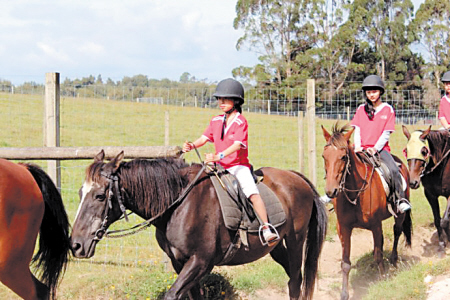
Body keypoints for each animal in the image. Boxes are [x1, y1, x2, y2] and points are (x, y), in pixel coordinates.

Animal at [69, 151, 326, 300]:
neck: (179, 204)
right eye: (81, 193)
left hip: (295, 242)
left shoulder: (200, 262)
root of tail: (297, 178)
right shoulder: (179, 262)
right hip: (276, 247)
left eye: (99, 196)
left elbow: (172, 296)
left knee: (296, 282)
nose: (76, 245)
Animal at [320, 123, 412, 300]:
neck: (356, 193)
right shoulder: (344, 228)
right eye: (324, 156)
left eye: (343, 157)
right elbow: (345, 263)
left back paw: (394, 260)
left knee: (397, 231)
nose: (331, 191)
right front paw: (344, 293)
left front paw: (382, 279)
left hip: (400, 214)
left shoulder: (375, 225)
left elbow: (378, 255)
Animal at [402, 125, 450, 256]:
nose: (413, 182)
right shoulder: (430, 194)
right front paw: (442, 244)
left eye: (424, 151)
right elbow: (438, 220)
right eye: (406, 150)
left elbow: (445, 220)